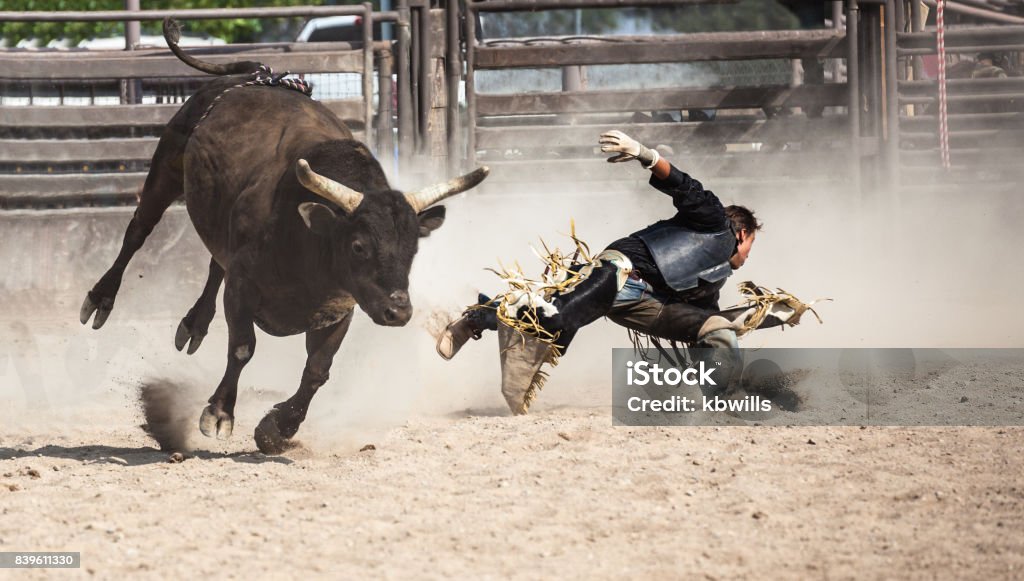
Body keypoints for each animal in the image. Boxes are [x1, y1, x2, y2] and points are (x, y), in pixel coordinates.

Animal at [79, 19, 487, 454]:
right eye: (359, 246)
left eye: (412, 250)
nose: (399, 312)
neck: (307, 237)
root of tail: (258, 75)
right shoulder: (243, 288)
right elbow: (243, 347)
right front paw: (220, 413)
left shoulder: (339, 309)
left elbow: (317, 370)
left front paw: (278, 428)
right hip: (166, 169)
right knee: (138, 232)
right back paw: (101, 299)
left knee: (215, 263)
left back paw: (195, 325)